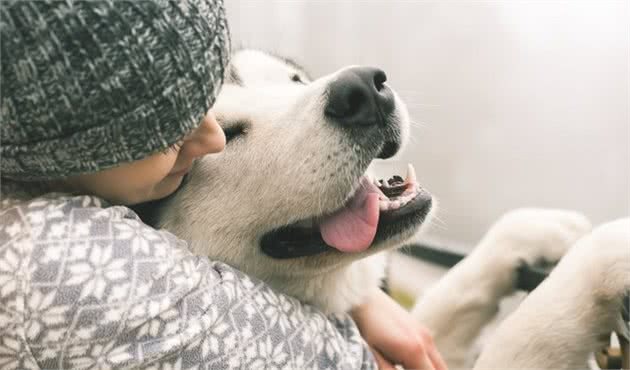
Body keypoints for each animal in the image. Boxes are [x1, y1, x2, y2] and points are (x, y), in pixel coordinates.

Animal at [153, 49, 630, 370]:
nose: (362, 89)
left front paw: (533, 231)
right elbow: (530, 329)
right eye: (227, 134)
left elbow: (450, 296)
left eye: (294, 79)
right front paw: (606, 251)